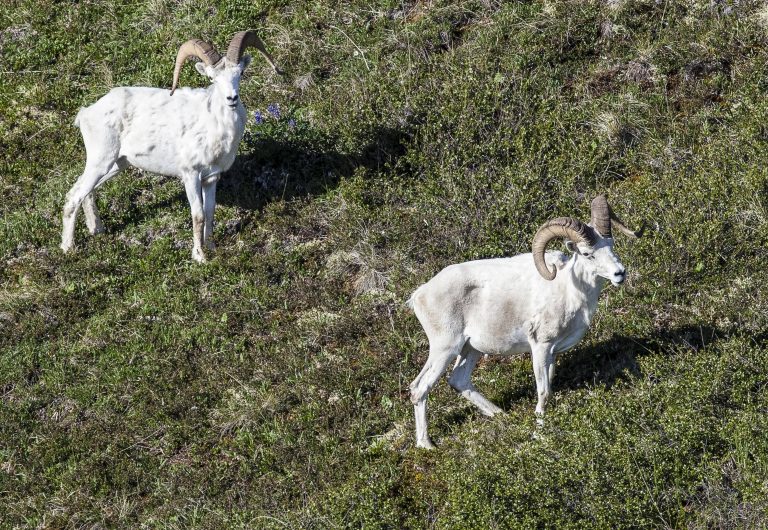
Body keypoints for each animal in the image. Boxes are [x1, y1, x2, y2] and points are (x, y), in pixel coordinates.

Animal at [60, 31, 281, 262]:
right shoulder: (191, 175)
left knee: (87, 191)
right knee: (74, 195)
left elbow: (210, 212)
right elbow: (198, 215)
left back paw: (97, 230)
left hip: (116, 165)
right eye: (213, 78)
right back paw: (68, 248)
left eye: (240, 74)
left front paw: (211, 248)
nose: (232, 98)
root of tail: (86, 113)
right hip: (101, 161)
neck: (216, 127)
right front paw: (200, 257)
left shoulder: (211, 178)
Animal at [406, 195, 643, 448]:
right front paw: (539, 429)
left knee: (459, 381)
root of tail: (419, 295)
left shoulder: (552, 353)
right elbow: (543, 391)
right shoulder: (540, 346)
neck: (568, 290)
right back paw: (426, 445)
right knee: (419, 388)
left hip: (471, 349)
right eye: (588, 253)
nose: (620, 273)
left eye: (611, 245)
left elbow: (549, 386)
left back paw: (502, 416)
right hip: (445, 349)